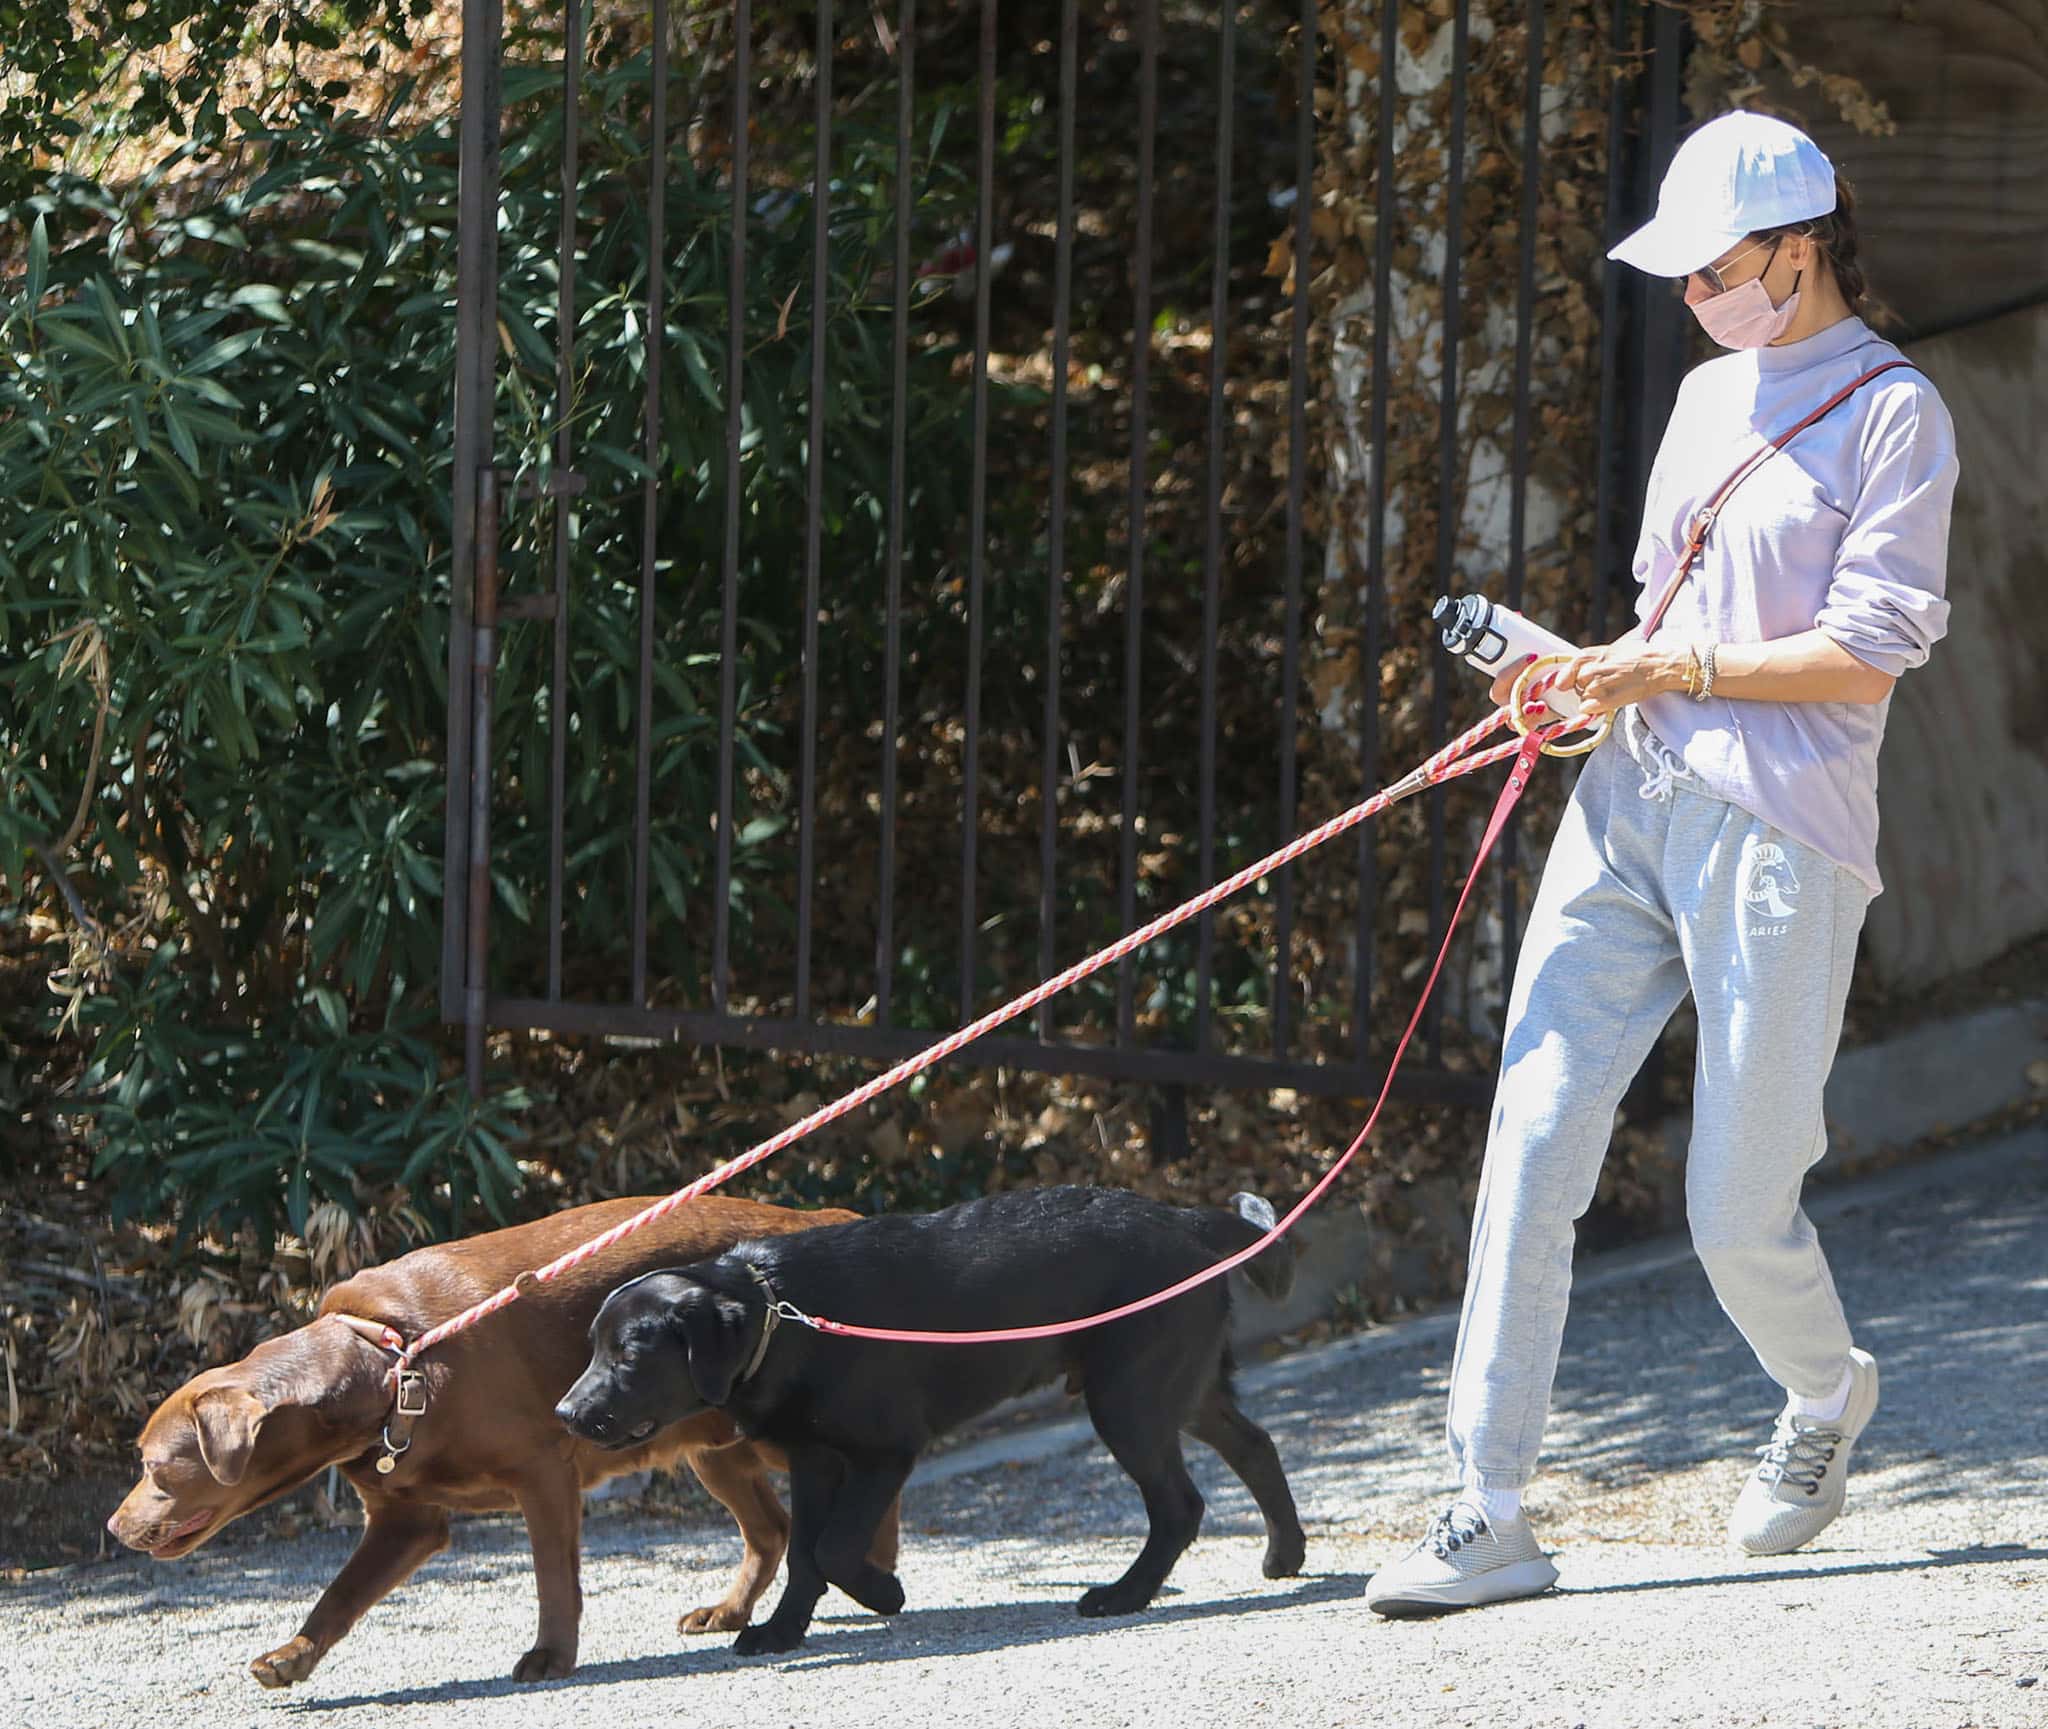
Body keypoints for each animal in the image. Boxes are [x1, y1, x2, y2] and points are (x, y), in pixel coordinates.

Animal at [101, 1196, 888, 1679]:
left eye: (155, 1467)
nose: (112, 1526)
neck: (389, 1367)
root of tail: (824, 1214)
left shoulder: (544, 1474)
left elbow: (553, 1581)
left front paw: (551, 1656)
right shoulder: (406, 1521)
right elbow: (338, 1597)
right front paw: (292, 1656)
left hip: (776, 1422)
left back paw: (872, 1572)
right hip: (709, 1441)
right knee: (771, 1527)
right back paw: (733, 1609)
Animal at [552, 1179, 1302, 1655]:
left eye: (629, 1354)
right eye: (592, 1346)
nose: (565, 1413)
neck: (778, 1315)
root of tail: (1182, 1217)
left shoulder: (884, 1452)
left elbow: (832, 1547)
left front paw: (883, 1592)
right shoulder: (813, 1458)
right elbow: (803, 1553)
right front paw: (783, 1633)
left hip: (1128, 1398)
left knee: (1180, 1503)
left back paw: (1125, 1594)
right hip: (1177, 1385)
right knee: (1256, 1445)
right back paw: (1284, 1553)